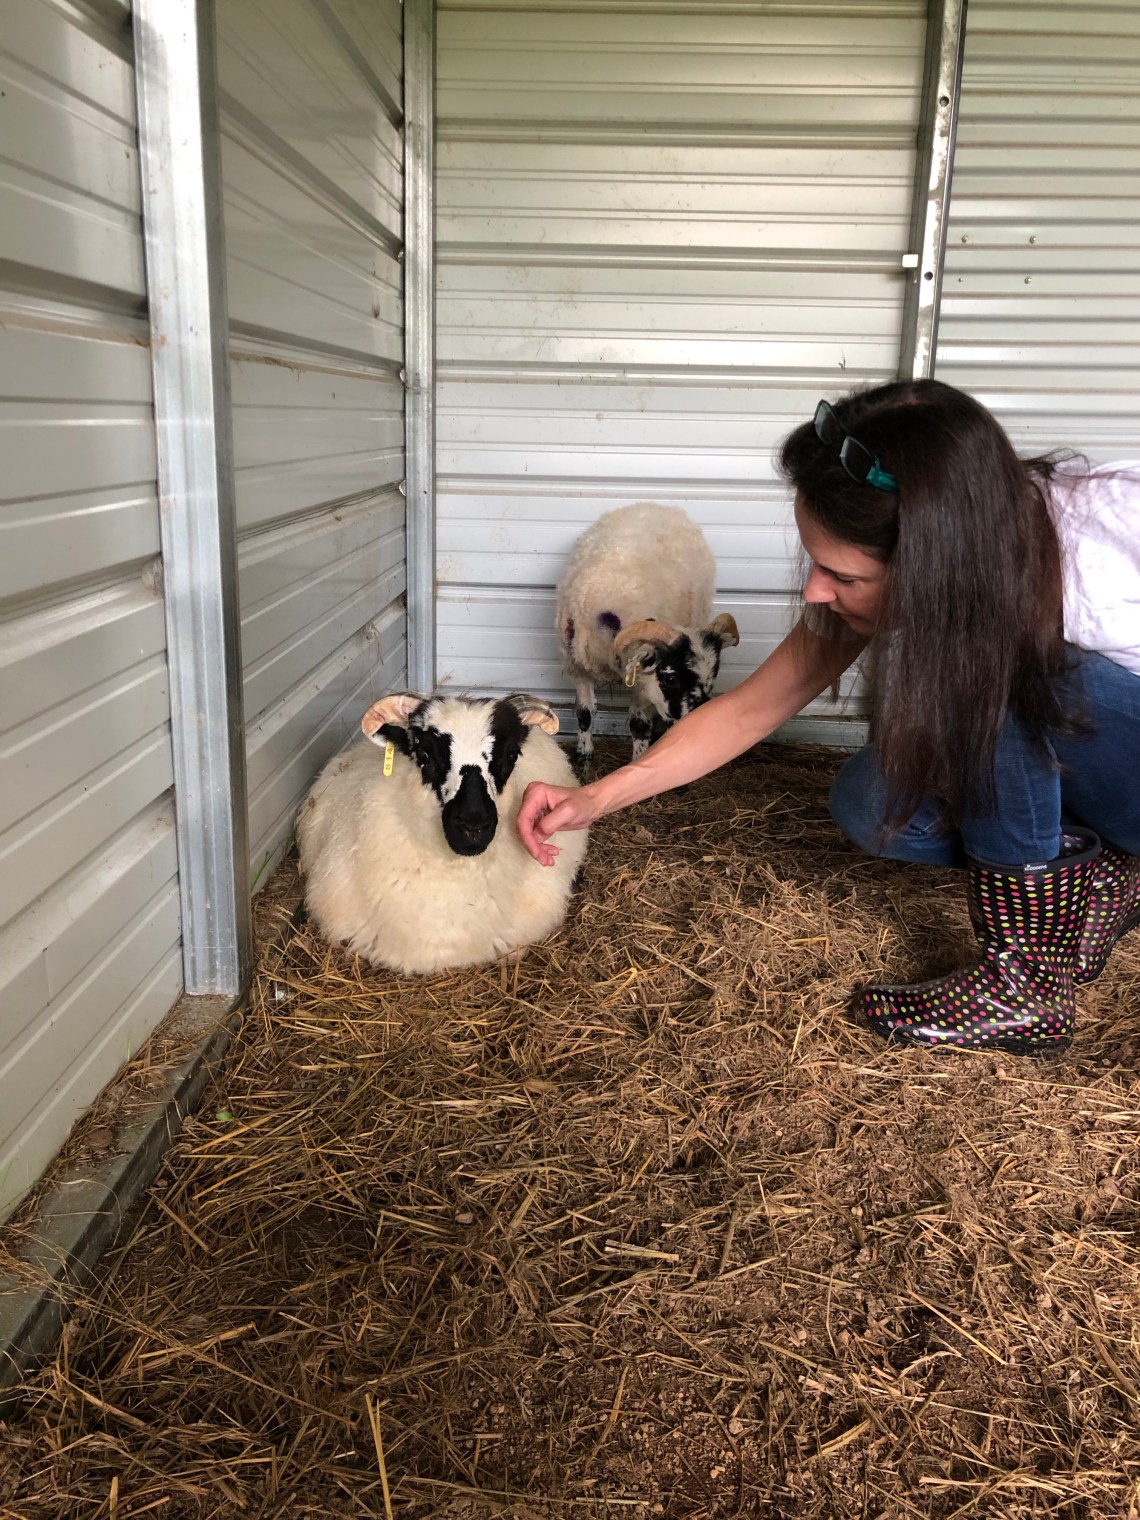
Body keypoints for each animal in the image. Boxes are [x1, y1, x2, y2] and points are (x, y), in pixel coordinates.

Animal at [555, 501, 740, 765]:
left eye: (713, 678)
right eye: (671, 679)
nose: (698, 724)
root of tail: (660, 506)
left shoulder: (642, 680)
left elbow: (639, 725)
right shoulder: (578, 666)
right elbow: (585, 713)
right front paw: (583, 757)